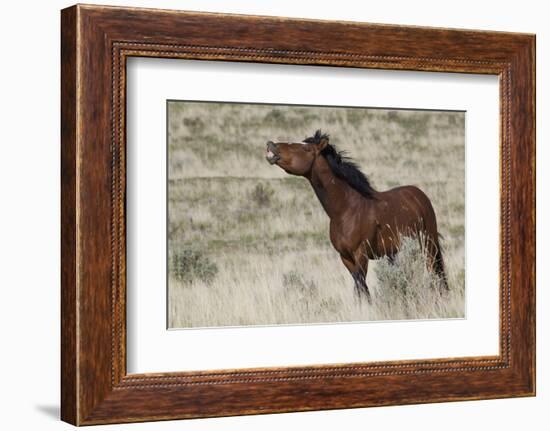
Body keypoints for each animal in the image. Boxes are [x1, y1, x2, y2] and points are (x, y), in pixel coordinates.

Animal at [266, 130, 448, 302]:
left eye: (306, 148)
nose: (271, 145)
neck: (346, 209)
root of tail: (419, 194)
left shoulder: (361, 254)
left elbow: (361, 287)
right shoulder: (346, 258)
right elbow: (360, 289)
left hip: (428, 244)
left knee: (435, 273)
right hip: (395, 253)